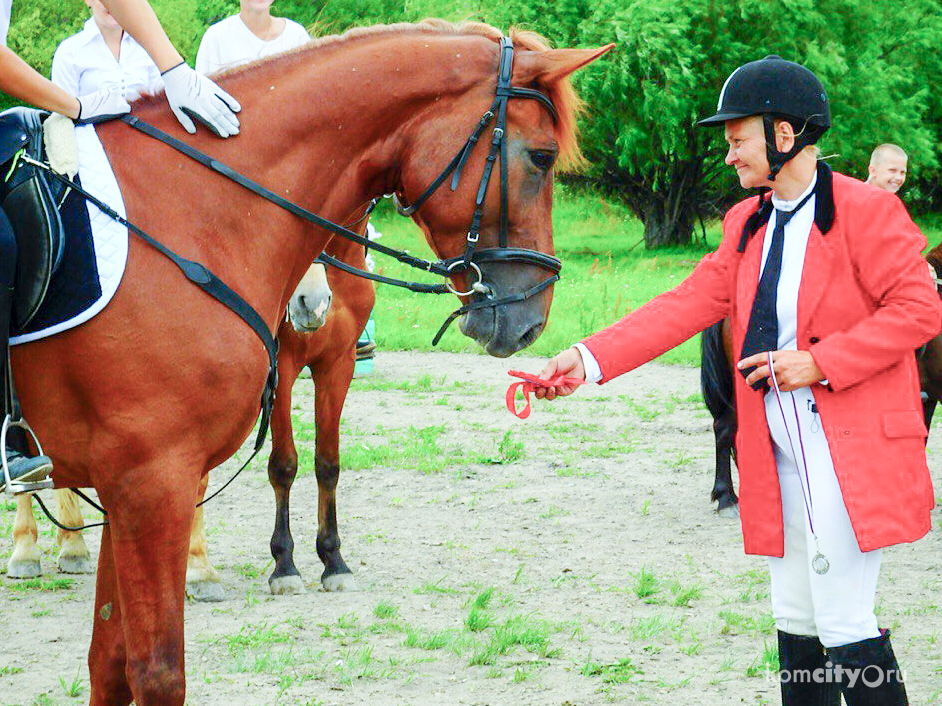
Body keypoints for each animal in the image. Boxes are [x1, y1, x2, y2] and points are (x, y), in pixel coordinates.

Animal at [12, 22, 612, 704]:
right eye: (541, 157)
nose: (531, 319)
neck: (195, 210)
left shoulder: (323, 373)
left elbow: (325, 463)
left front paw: (331, 560)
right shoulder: (153, 475)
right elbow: (278, 474)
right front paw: (286, 564)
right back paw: (37, 549)